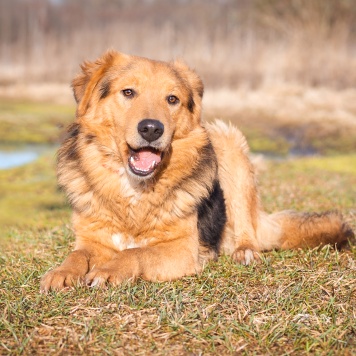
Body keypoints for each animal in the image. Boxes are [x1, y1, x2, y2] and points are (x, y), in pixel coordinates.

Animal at [39, 50, 354, 292]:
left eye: (172, 99)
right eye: (128, 92)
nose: (152, 129)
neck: (134, 192)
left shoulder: (182, 249)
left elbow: (137, 252)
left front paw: (110, 269)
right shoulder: (91, 239)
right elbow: (77, 254)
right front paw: (62, 272)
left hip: (228, 143)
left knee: (247, 227)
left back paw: (245, 251)